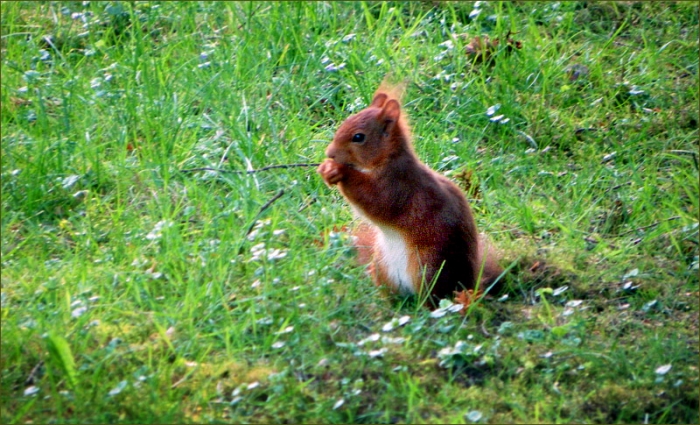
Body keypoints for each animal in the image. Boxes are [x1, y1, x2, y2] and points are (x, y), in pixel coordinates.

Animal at [317, 83, 503, 308]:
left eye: (359, 137)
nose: (330, 154)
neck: (386, 159)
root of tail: (466, 282)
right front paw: (326, 169)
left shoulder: (398, 186)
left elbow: (375, 200)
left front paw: (339, 171)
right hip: (383, 267)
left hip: (429, 267)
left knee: (432, 298)